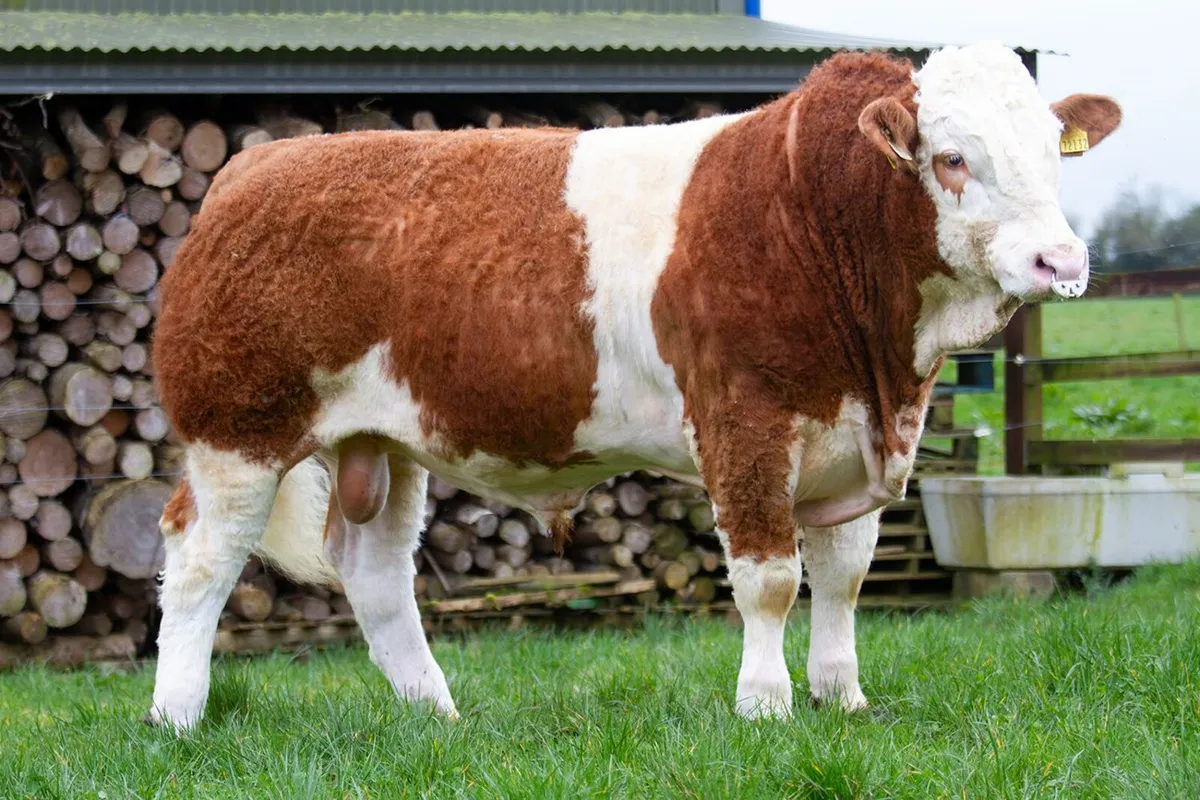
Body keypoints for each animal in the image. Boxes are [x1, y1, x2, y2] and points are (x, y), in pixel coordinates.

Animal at [145, 40, 1120, 731]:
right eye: (953, 159)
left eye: (1053, 152)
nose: (1060, 261)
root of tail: (251, 166)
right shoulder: (745, 420)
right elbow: (770, 577)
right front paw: (765, 707)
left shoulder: (852, 434)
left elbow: (844, 576)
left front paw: (842, 698)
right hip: (236, 429)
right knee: (200, 561)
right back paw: (177, 718)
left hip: (382, 438)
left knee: (375, 573)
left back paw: (437, 716)